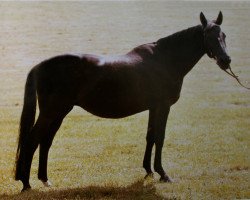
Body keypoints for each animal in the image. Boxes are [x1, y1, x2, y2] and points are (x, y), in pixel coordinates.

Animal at [15, 11, 230, 191]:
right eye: (208, 36)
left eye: (224, 35)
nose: (226, 60)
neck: (165, 60)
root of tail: (40, 66)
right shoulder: (163, 106)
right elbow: (160, 138)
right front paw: (163, 174)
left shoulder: (154, 107)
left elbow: (150, 137)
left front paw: (149, 171)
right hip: (52, 112)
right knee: (32, 141)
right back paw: (26, 184)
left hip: (59, 112)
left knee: (45, 142)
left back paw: (45, 179)